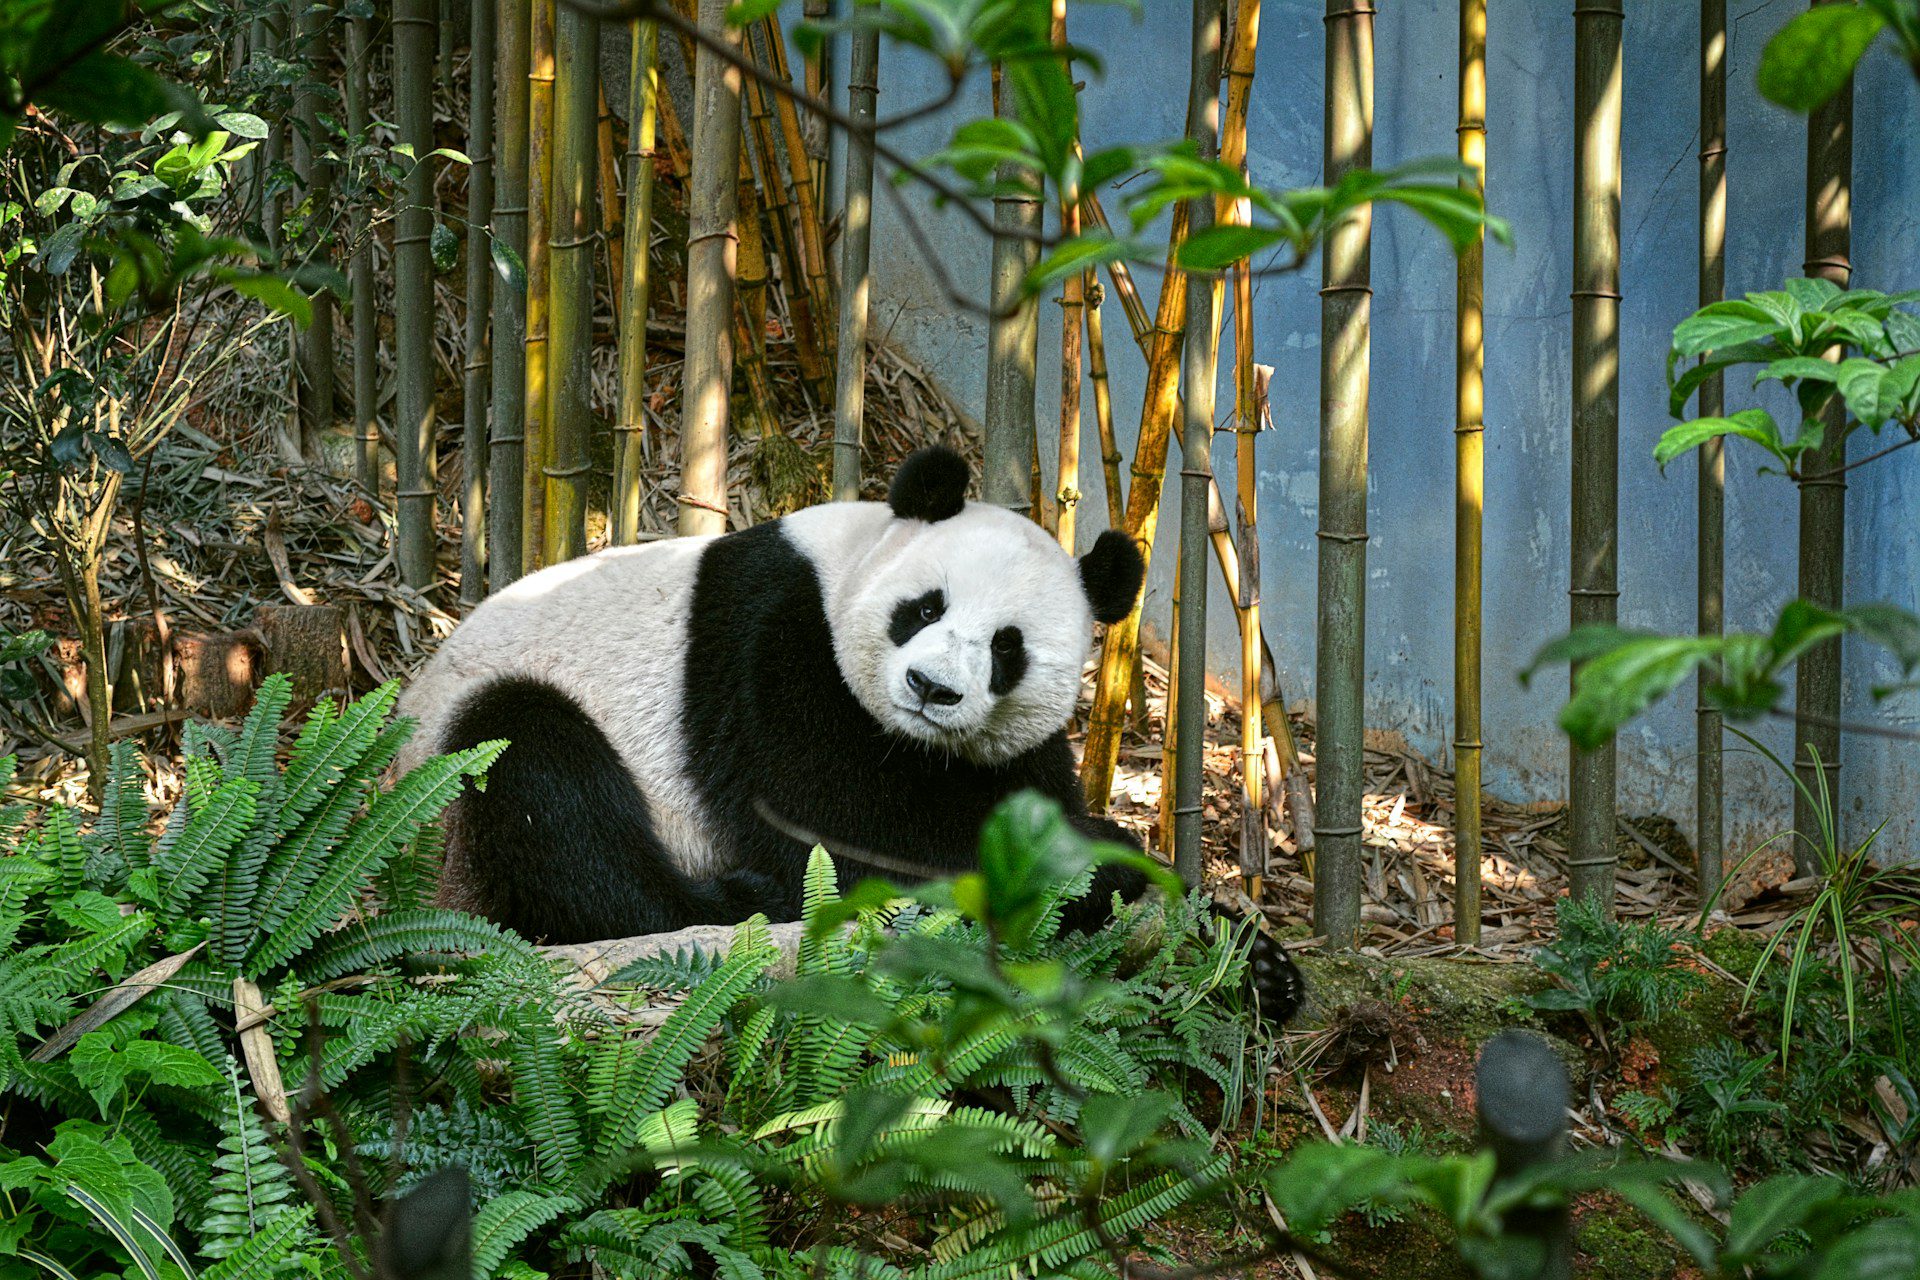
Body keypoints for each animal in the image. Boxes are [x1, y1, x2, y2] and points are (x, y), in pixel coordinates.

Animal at [397, 446, 1303, 1023]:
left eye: (1008, 647)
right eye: (925, 608)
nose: (933, 690)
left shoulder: (1008, 746)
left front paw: (1258, 964)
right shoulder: (775, 645)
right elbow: (837, 826)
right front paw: (1109, 864)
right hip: (456, 781)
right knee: (540, 781)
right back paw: (735, 902)